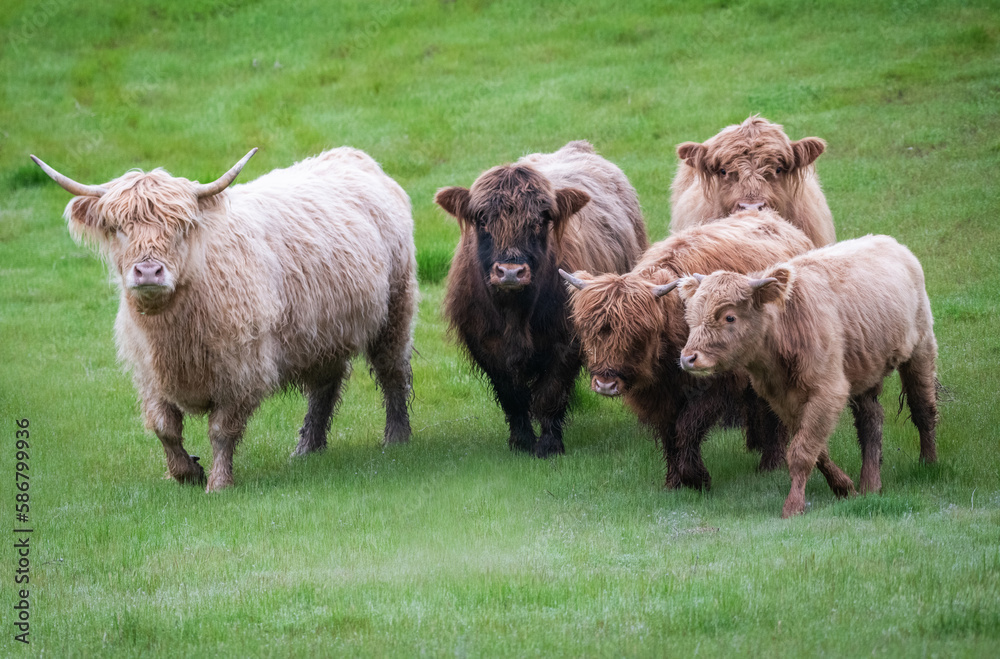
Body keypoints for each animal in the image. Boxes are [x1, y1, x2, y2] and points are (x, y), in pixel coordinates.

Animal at [32, 147, 418, 492]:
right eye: (118, 227)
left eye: (181, 226)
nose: (148, 271)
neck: (174, 333)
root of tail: (353, 156)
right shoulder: (149, 375)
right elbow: (164, 428)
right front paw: (187, 472)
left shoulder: (241, 371)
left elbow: (221, 431)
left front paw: (218, 484)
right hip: (323, 333)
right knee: (325, 384)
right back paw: (307, 449)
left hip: (395, 308)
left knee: (392, 371)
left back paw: (396, 438)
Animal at [436, 140, 648, 457]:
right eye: (482, 219)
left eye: (540, 220)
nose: (511, 271)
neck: (515, 313)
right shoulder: (484, 344)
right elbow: (511, 396)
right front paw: (521, 441)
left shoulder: (565, 341)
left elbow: (551, 393)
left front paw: (548, 445)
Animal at [560, 208, 814, 489]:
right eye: (588, 329)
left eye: (638, 333)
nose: (606, 384)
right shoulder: (659, 394)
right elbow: (670, 434)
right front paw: (674, 481)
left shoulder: (716, 383)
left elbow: (688, 427)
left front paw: (696, 477)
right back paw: (755, 446)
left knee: (773, 413)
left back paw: (770, 463)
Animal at [676, 235, 938, 517]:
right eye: (691, 317)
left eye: (729, 317)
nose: (688, 358)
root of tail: (891, 243)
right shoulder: (783, 400)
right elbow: (815, 449)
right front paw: (844, 487)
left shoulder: (828, 391)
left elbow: (801, 452)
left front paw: (793, 506)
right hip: (867, 367)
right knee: (871, 420)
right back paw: (870, 484)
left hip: (921, 349)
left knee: (923, 408)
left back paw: (928, 463)